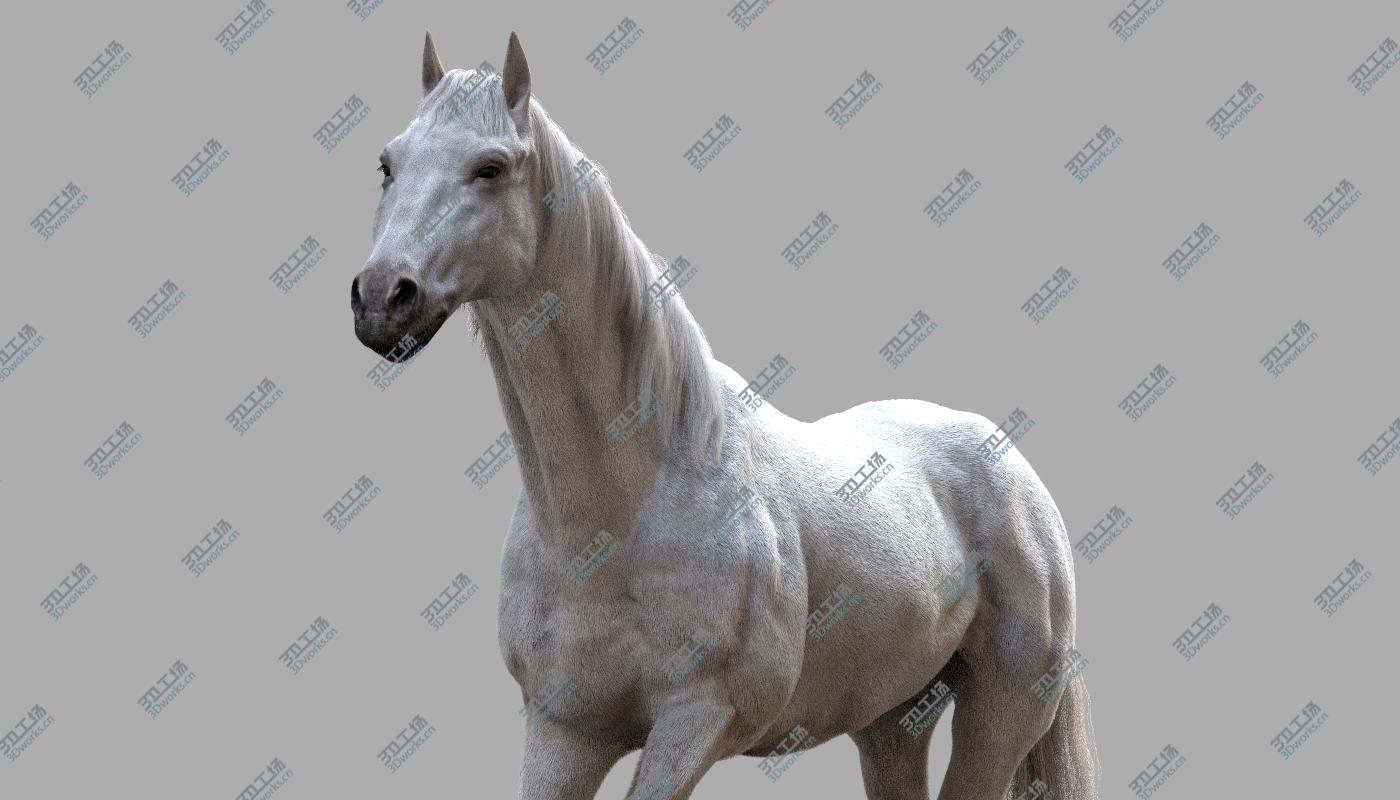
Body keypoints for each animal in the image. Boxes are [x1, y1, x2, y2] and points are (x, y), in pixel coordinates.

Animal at [350, 31, 1099, 800]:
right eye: (387, 163)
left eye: (491, 167)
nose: (382, 298)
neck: (624, 512)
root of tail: (1014, 467)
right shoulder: (563, 729)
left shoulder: (698, 721)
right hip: (892, 718)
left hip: (1002, 709)